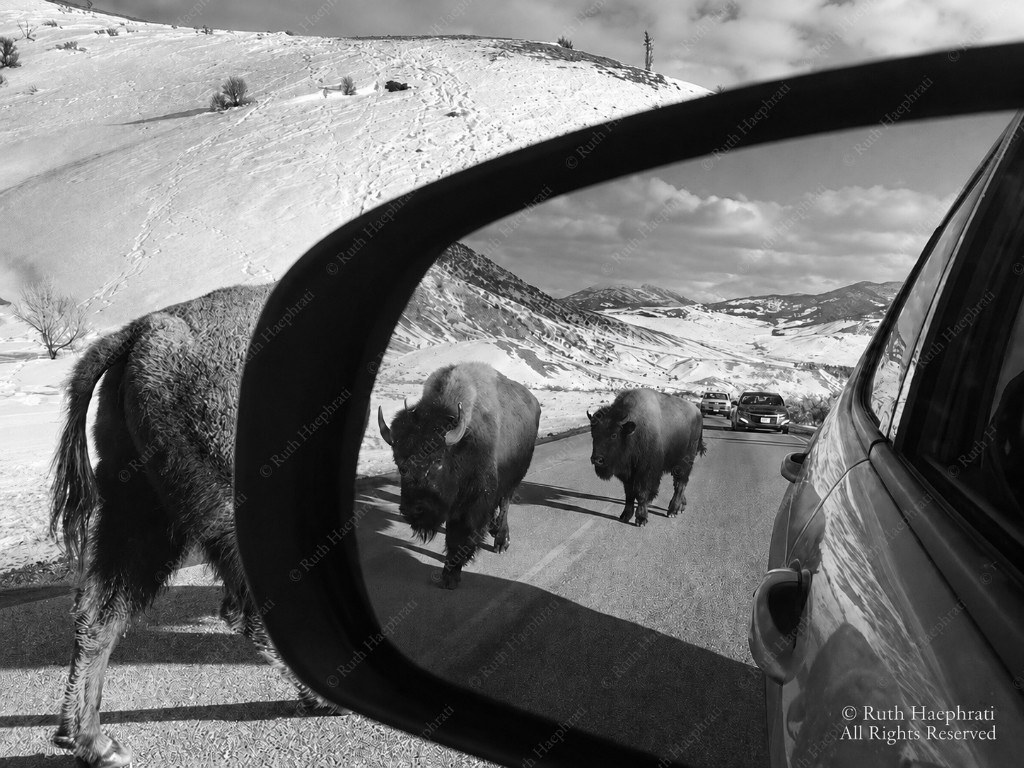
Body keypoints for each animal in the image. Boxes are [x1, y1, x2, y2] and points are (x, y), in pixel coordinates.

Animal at [49, 284, 335, 768]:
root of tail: (142, 329)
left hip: (137, 508)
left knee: (99, 611)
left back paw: (91, 741)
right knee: (248, 609)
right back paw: (323, 697)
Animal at [378, 362, 541, 589]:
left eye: (438, 461)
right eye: (400, 465)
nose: (414, 510)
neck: (463, 444)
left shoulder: (472, 504)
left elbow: (460, 536)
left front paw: (450, 576)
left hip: (514, 478)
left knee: (505, 504)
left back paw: (501, 541)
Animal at [588, 389, 707, 526]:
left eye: (614, 435)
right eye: (593, 434)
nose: (596, 459)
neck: (632, 432)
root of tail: (698, 413)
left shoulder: (646, 472)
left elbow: (641, 494)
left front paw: (641, 519)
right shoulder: (628, 475)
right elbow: (629, 494)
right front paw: (625, 516)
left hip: (684, 463)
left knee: (680, 484)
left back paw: (672, 511)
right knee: (679, 484)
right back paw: (681, 507)